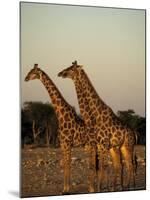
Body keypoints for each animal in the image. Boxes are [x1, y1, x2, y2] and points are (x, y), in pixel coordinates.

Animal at [24, 64, 97, 194]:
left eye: (33, 72)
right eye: (30, 71)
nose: (25, 78)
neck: (61, 114)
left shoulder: (67, 143)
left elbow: (68, 164)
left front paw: (66, 189)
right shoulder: (62, 143)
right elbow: (64, 165)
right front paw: (64, 189)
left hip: (93, 145)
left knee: (94, 163)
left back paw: (92, 188)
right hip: (89, 146)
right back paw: (92, 187)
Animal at [57, 60, 137, 191]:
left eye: (71, 69)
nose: (60, 73)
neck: (96, 115)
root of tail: (134, 133)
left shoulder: (102, 144)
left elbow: (102, 166)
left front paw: (98, 188)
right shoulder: (99, 145)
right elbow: (98, 167)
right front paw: (99, 188)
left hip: (128, 146)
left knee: (130, 164)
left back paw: (129, 186)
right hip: (121, 147)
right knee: (124, 165)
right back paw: (123, 186)